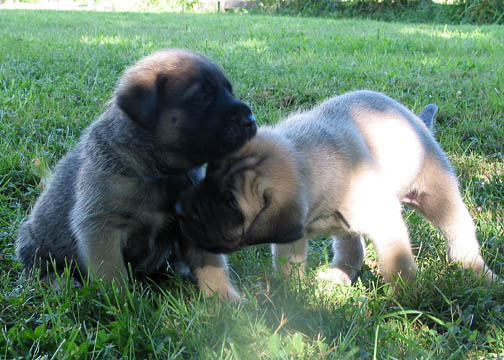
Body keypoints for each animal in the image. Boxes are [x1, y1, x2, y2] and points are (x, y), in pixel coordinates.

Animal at [16, 49, 256, 300]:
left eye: (229, 90)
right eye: (201, 97)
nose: (251, 120)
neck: (161, 170)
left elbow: (212, 264)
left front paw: (226, 298)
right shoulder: (101, 226)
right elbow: (112, 272)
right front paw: (122, 302)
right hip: (34, 242)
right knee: (40, 268)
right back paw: (60, 282)